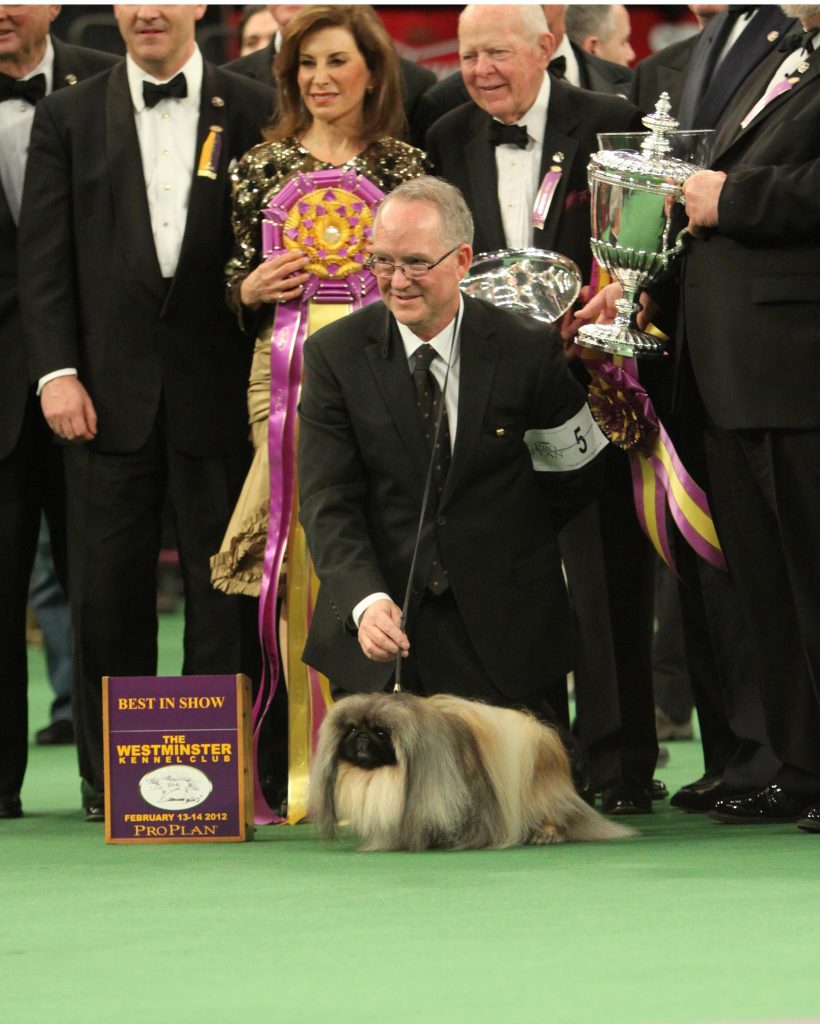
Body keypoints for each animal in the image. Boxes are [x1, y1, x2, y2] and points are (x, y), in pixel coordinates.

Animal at [307, 692, 634, 851]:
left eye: (380, 732)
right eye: (351, 729)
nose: (361, 736)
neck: (387, 773)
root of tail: (542, 732)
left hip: (543, 793)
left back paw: (547, 833)